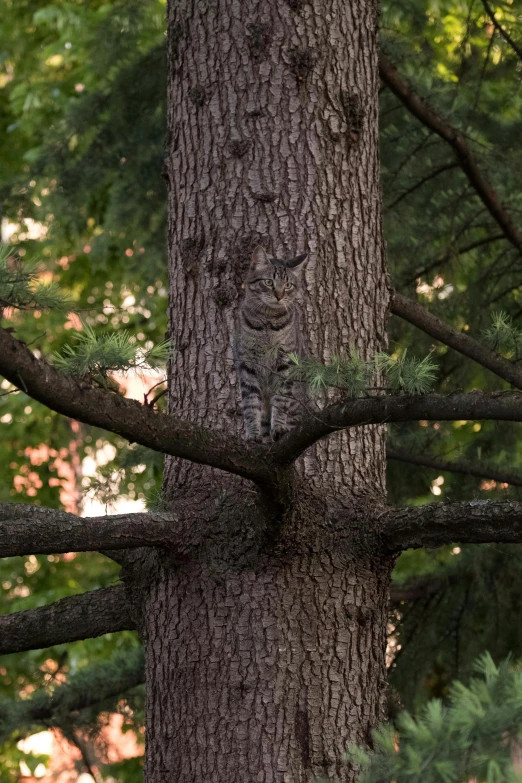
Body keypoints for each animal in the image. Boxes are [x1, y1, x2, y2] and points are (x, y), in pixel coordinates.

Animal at [234, 247, 306, 440]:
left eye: (288, 285)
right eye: (268, 282)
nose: (279, 296)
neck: (268, 322)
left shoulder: (285, 362)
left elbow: (281, 400)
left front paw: (279, 427)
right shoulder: (247, 364)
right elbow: (251, 404)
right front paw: (252, 433)